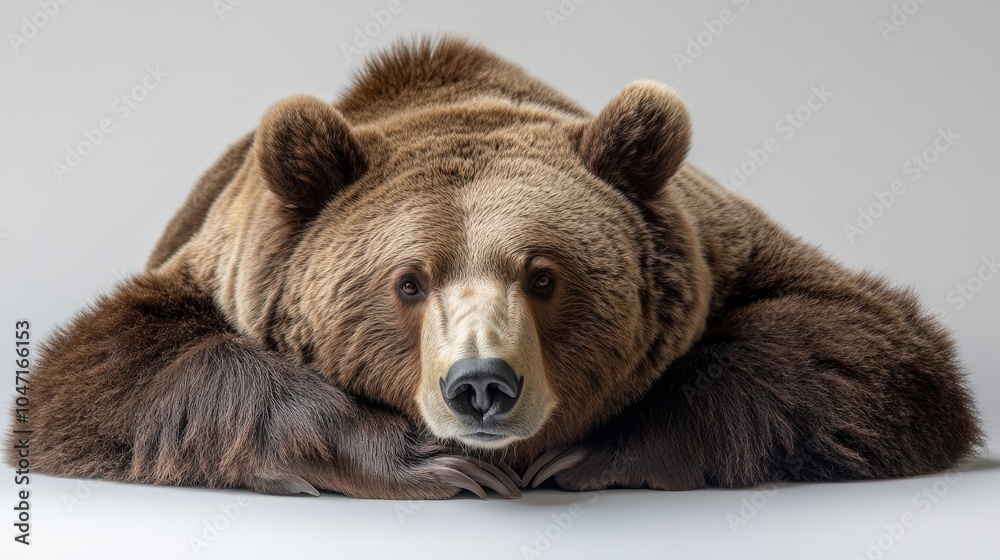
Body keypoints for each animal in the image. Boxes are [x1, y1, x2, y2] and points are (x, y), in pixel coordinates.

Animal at [8, 36, 981, 499]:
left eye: (544, 275)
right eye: (407, 281)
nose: (481, 384)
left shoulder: (727, 249)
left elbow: (858, 347)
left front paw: (592, 448)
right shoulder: (221, 270)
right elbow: (103, 377)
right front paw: (423, 460)